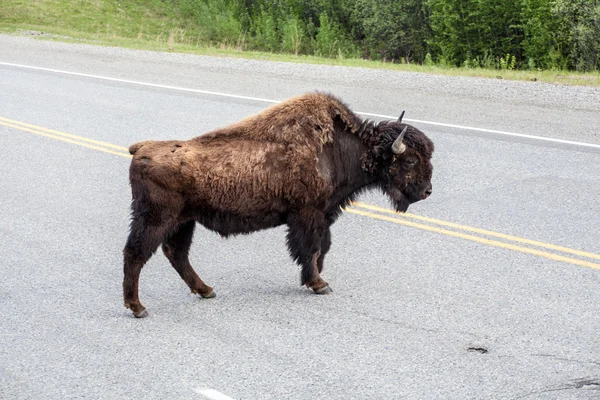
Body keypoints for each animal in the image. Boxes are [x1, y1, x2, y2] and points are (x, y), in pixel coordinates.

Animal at [123, 92, 432, 318]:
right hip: (156, 218)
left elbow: (323, 247)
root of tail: (141, 149)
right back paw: (138, 307)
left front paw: (314, 278)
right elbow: (312, 248)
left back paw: (206, 290)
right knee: (136, 253)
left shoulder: (322, 215)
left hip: (184, 221)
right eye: (411, 160)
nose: (427, 191)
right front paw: (319, 284)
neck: (336, 150)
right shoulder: (308, 215)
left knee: (176, 254)